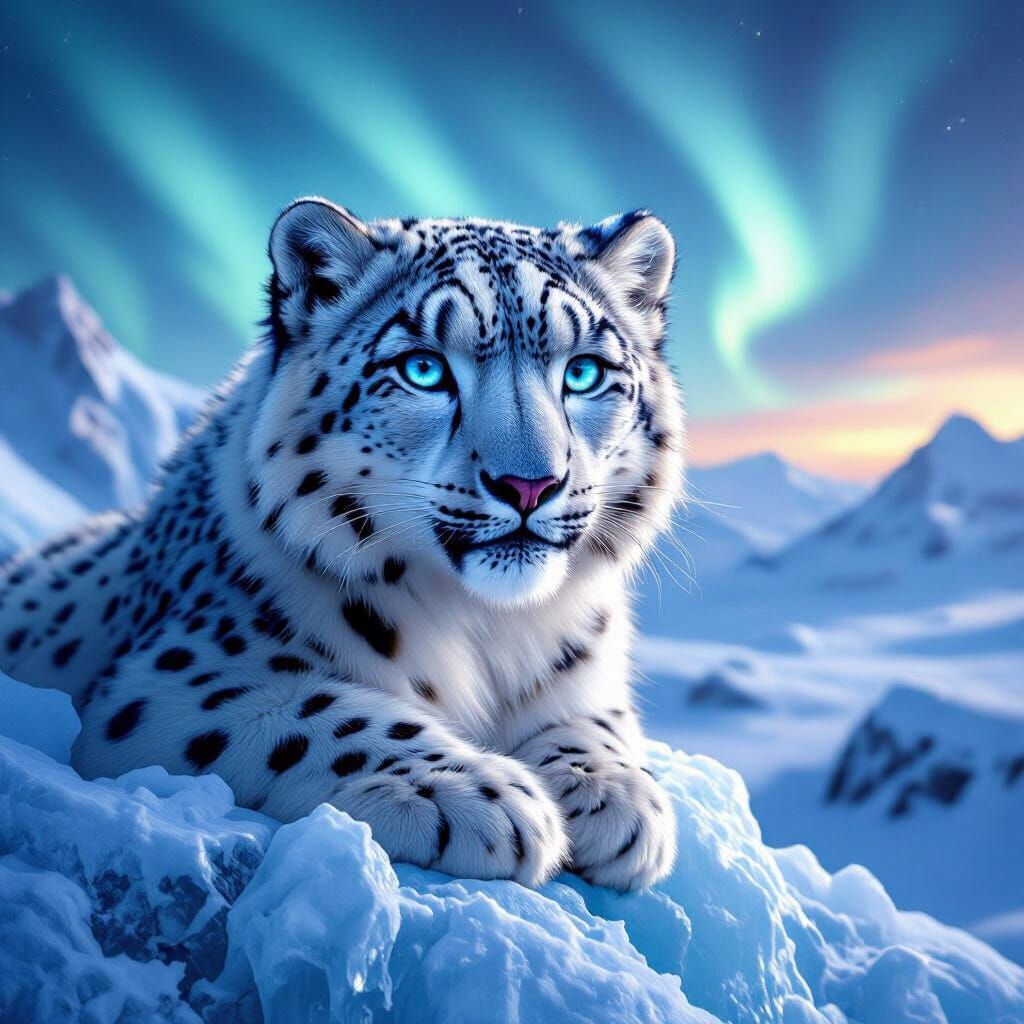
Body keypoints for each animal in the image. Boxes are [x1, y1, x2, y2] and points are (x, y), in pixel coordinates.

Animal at [0, 198, 685, 891]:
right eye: (424, 369)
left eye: (584, 372)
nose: (529, 484)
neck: (491, 632)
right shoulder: (176, 676)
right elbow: (321, 712)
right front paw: (478, 795)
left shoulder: (587, 674)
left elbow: (595, 720)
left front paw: (613, 792)